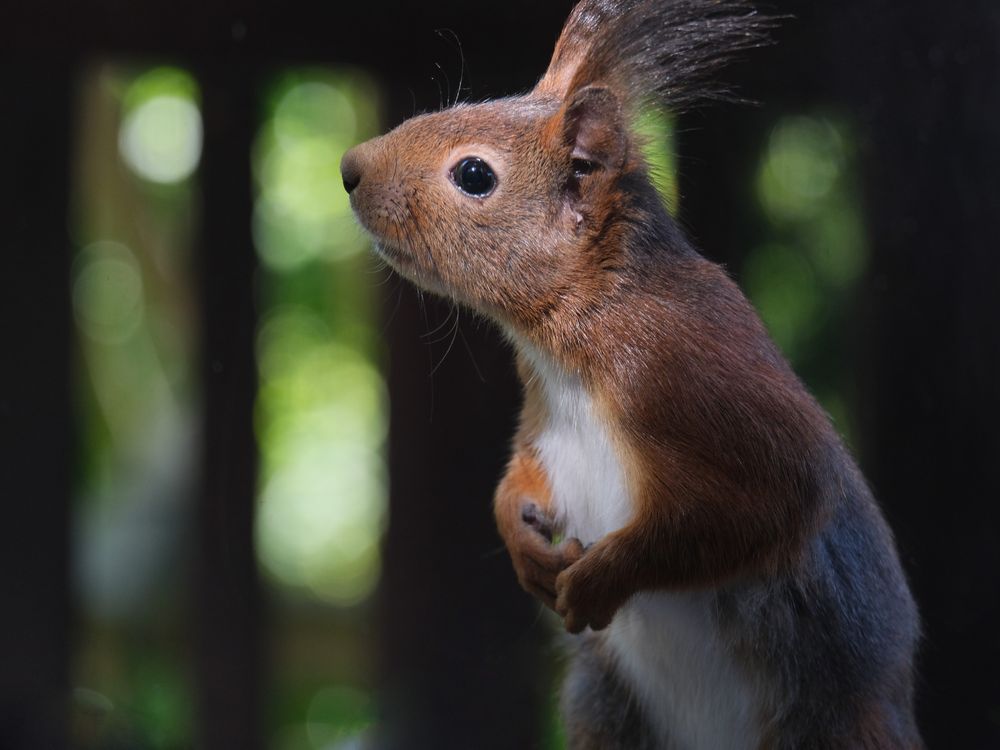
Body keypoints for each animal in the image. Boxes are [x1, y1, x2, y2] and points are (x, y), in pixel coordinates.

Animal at [342, 1, 920, 748]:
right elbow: (524, 473)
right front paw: (520, 538)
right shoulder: (546, 420)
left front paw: (603, 577)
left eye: (474, 175)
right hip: (605, 706)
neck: (573, 349)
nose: (349, 167)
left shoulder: (698, 378)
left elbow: (763, 507)